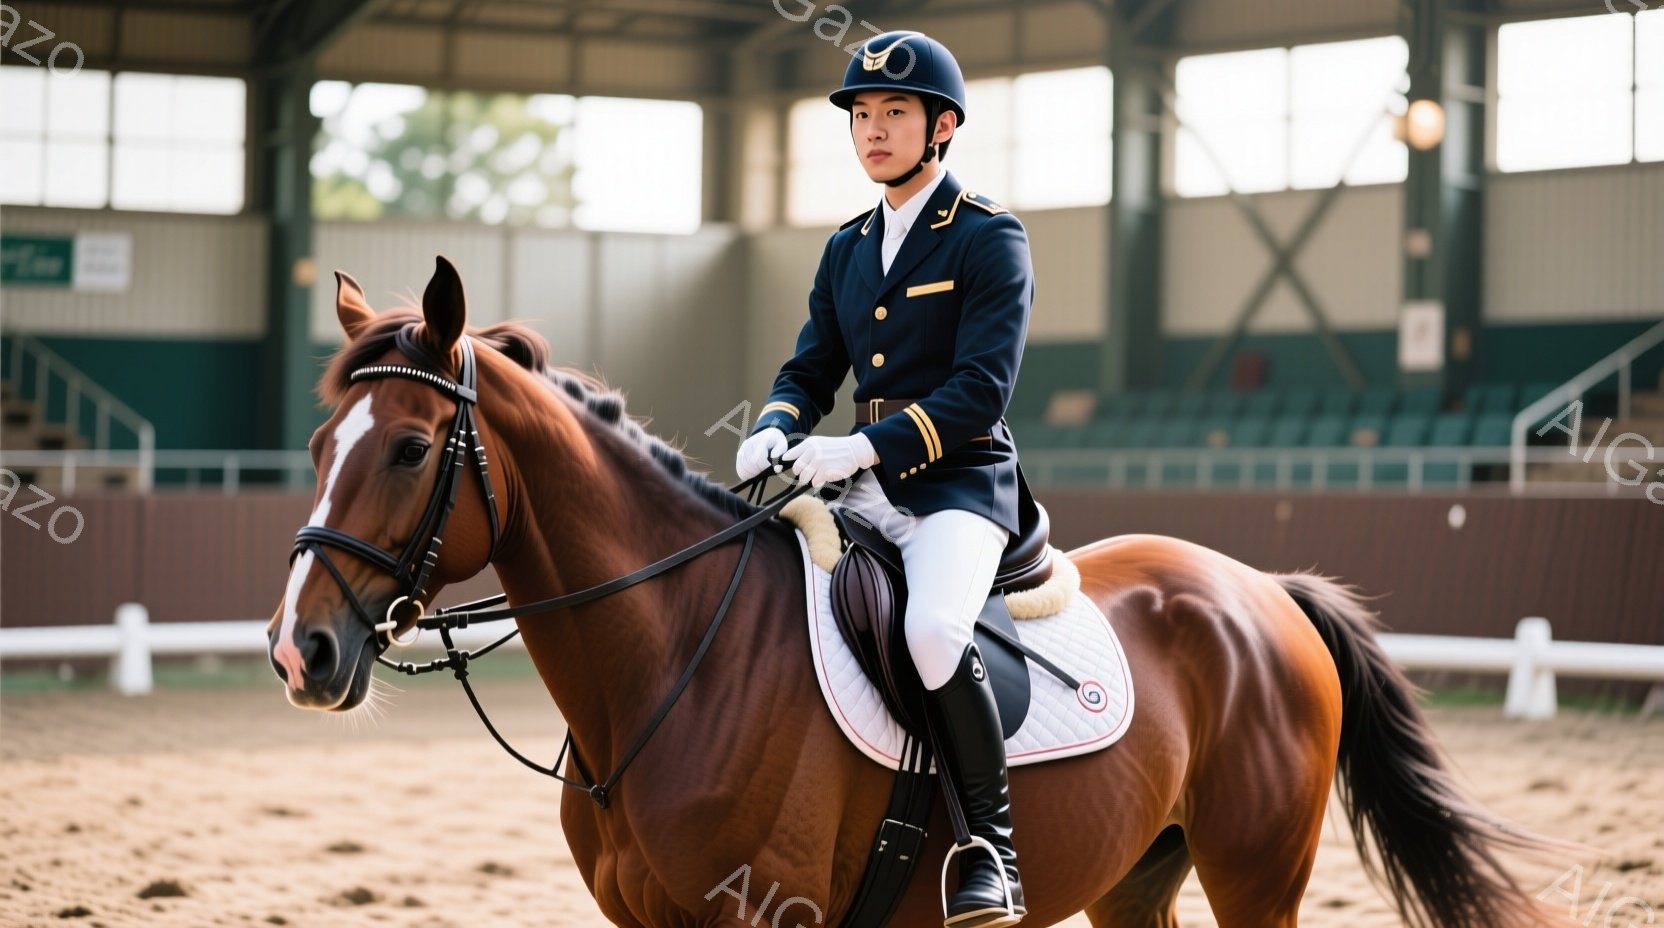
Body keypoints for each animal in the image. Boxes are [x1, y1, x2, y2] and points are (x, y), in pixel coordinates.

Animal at [268, 256, 1559, 928]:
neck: (673, 665)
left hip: (1257, 874)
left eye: (411, 448)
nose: (297, 653)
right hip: (1137, 871)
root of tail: (1264, 592)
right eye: (324, 436)